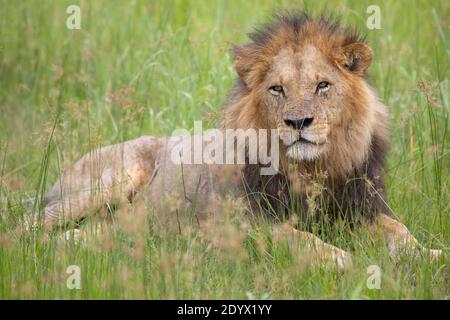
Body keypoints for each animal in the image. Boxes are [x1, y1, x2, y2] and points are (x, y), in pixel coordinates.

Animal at [40, 13, 442, 272]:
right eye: (277, 89)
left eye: (322, 85)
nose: (298, 122)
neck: (312, 169)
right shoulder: (245, 225)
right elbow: (297, 238)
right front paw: (342, 259)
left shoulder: (361, 208)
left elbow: (400, 231)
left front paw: (429, 255)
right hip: (113, 179)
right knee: (31, 227)